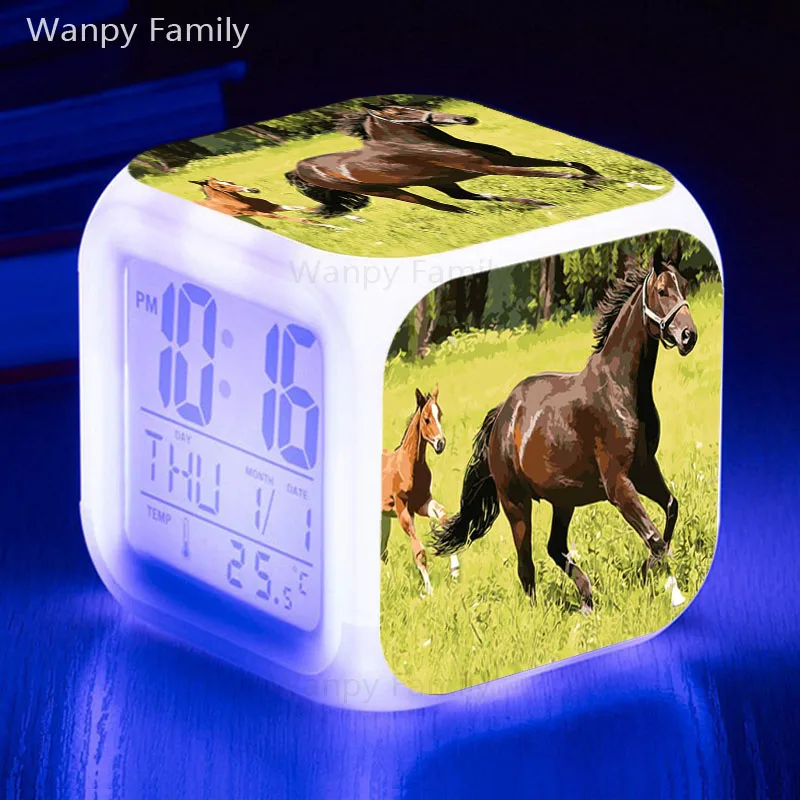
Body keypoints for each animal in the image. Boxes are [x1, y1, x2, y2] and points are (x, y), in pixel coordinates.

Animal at [189, 177, 345, 229]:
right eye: (220, 186)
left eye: (227, 181)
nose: (253, 190)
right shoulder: (263, 213)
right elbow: (303, 219)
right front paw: (338, 228)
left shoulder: (273, 207)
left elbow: (307, 209)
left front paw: (349, 217)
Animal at [284, 104, 603, 217]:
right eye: (396, 112)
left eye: (404, 106)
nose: (464, 119)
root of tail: (299, 168)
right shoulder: (487, 167)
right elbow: (552, 172)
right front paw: (586, 181)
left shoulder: (499, 159)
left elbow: (561, 162)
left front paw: (596, 176)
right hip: (391, 191)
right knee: (446, 206)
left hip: (442, 182)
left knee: (470, 198)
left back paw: (540, 204)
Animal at [381, 386, 459, 595]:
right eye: (426, 419)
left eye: (440, 414)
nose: (440, 443)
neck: (410, 465)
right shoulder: (402, 510)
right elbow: (419, 552)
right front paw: (429, 590)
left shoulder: (421, 504)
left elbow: (442, 515)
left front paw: (455, 570)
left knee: (382, 550)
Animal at [432, 243, 697, 613]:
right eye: (662, 291)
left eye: (683, 286)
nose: (689, 336)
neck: (621, 390)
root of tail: (502, 416)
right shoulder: (618, 484)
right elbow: (655, 538)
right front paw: (663, 584)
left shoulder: (644, 469)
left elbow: (670, 511)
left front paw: (647, 572)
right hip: (516, 503)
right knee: (526, 565)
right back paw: (541, 612)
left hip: (563, 500)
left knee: (554, 548)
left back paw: (586, 600)